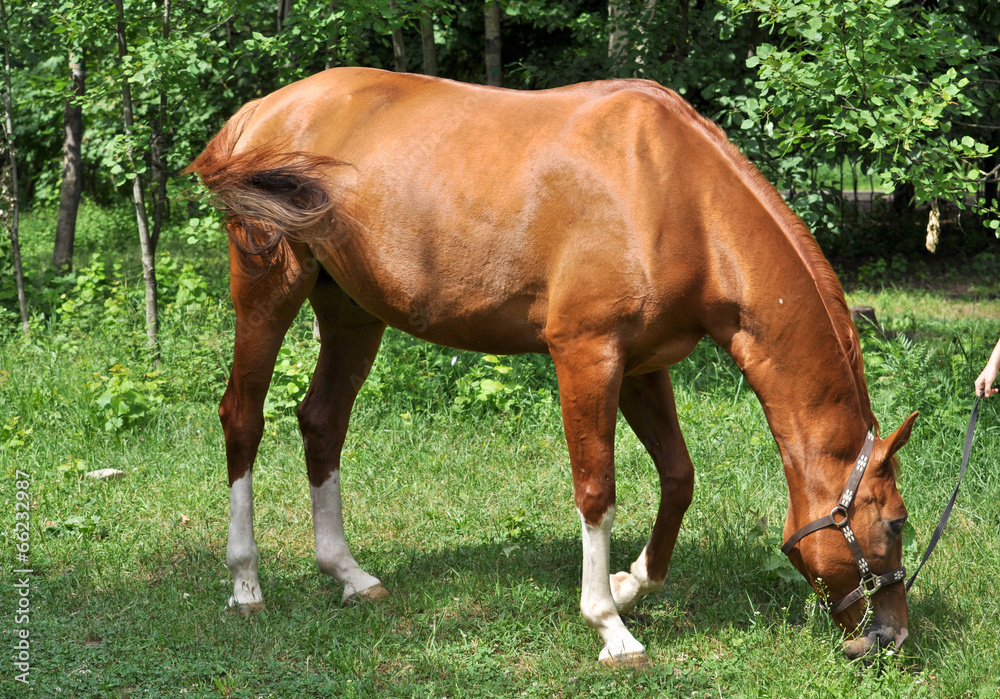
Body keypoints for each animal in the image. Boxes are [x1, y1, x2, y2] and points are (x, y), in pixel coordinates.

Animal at [186, 67, 916, 668]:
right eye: (895, 522)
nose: (890, 637)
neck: (674, 192)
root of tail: (261, 110)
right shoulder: (586, 356)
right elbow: (596, 490)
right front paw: (610, 627)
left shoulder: (643, 365)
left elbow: (678, 476)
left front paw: (630, 583)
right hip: (268, 288)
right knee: (242, 417)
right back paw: (246, 582)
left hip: (350, 311)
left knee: (322, 422)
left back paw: (349, 574)